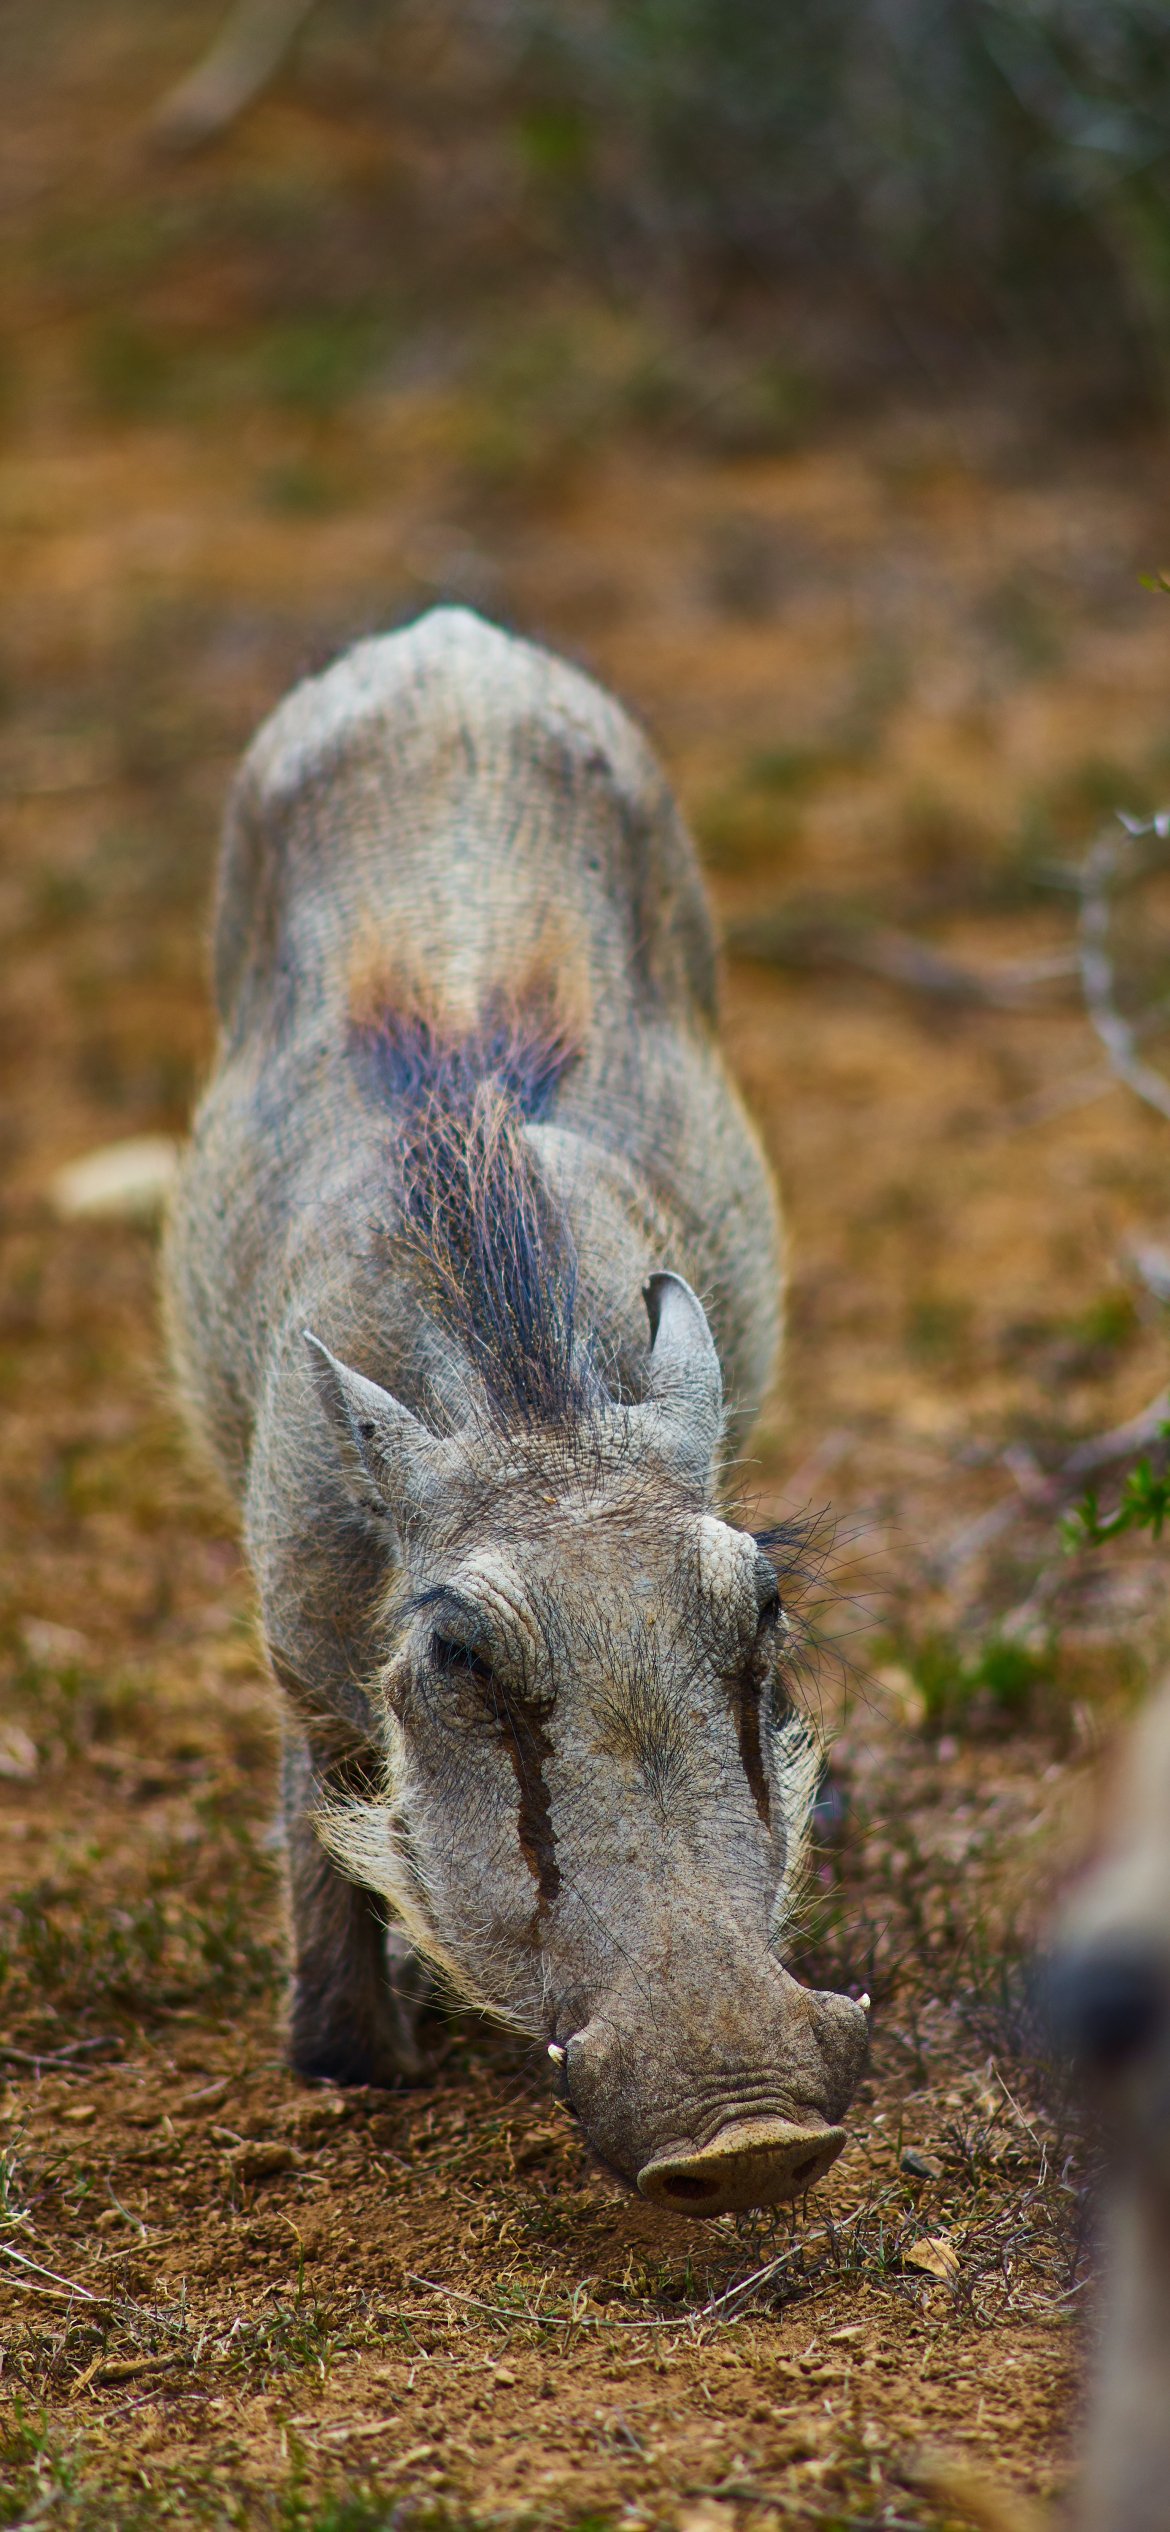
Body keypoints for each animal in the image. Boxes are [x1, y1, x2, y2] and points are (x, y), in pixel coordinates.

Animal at [163, 606, 868, 2215]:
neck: (528, 1396)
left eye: (763, 1609)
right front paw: (353, 2062)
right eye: (461, 1657)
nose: (749, 2137)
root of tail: (449, 638)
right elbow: (323, 1845)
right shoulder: (304, 1656)